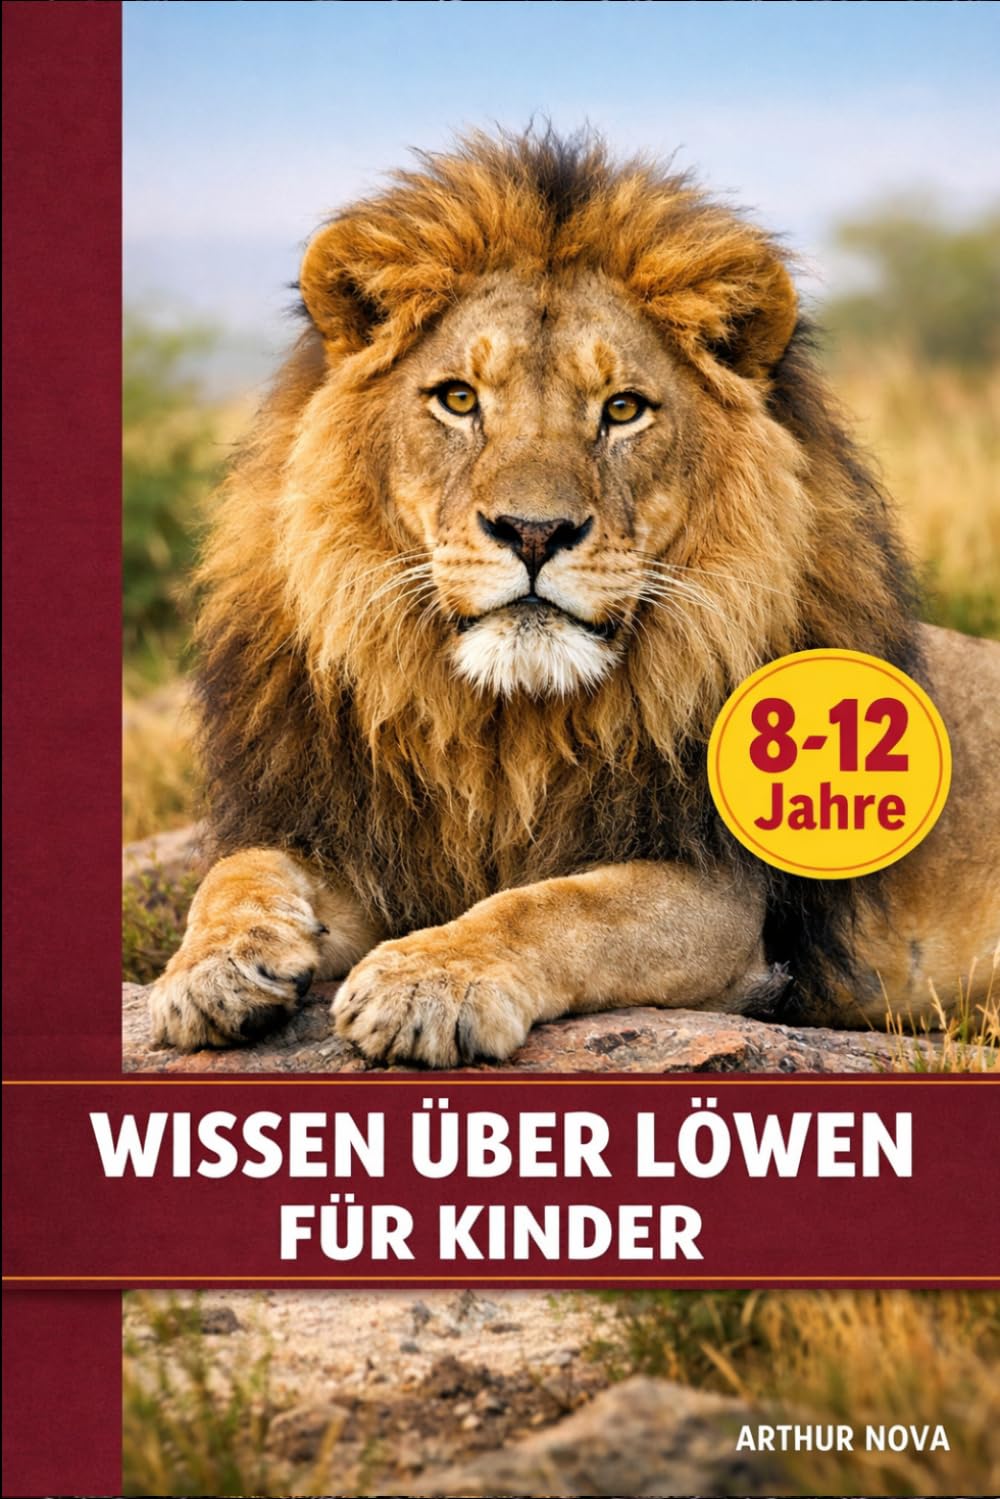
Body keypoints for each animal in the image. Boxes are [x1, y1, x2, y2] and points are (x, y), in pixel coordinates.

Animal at [148, 129, 1000, 1066]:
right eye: (458, 399)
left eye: (622, 409)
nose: (532, 531)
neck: (504, 730)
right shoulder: (353, 835)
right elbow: (239, 866)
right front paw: (211, 968)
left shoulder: (723, 901)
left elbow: (556, 904)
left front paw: (430, 980)